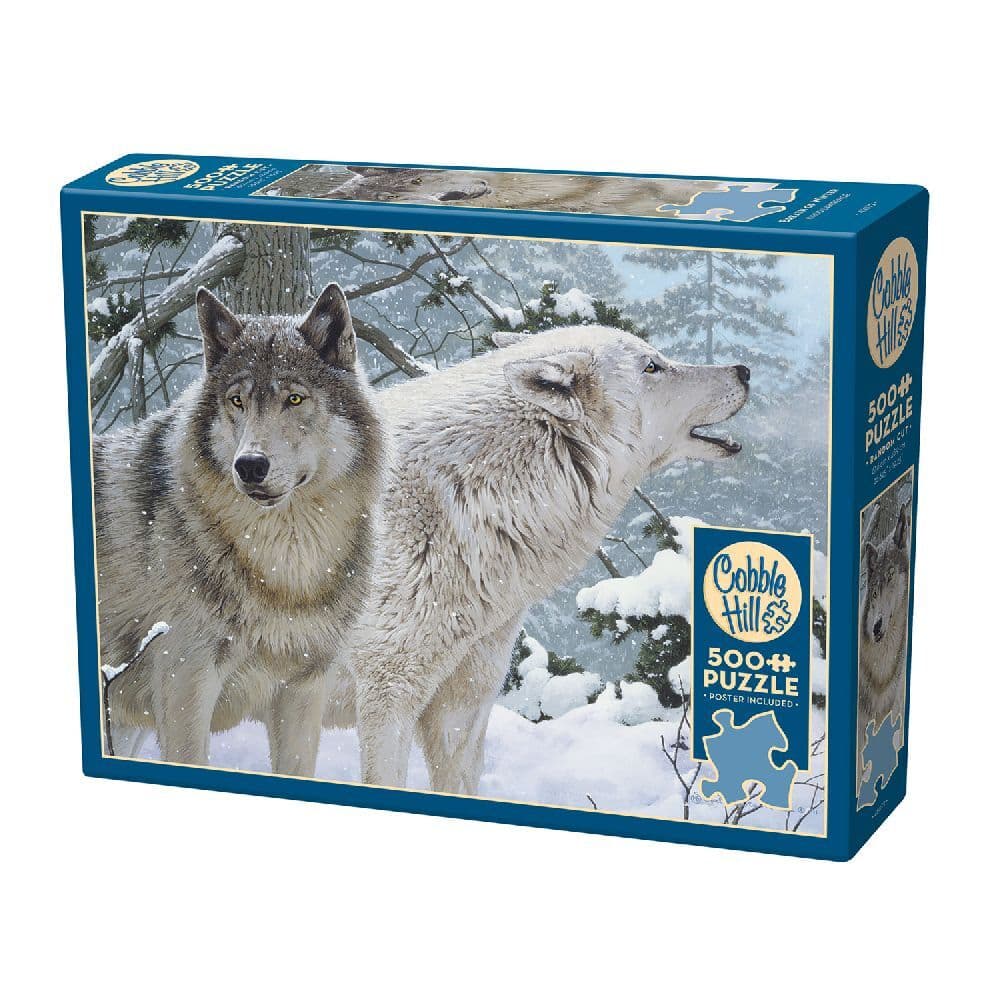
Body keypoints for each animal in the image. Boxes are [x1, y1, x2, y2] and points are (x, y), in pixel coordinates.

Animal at [95, 283, 385, 775]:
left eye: (294, 399)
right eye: (237, 401)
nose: (249, 465)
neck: (287, 567)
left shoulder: (305, 687)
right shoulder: (186, 684)